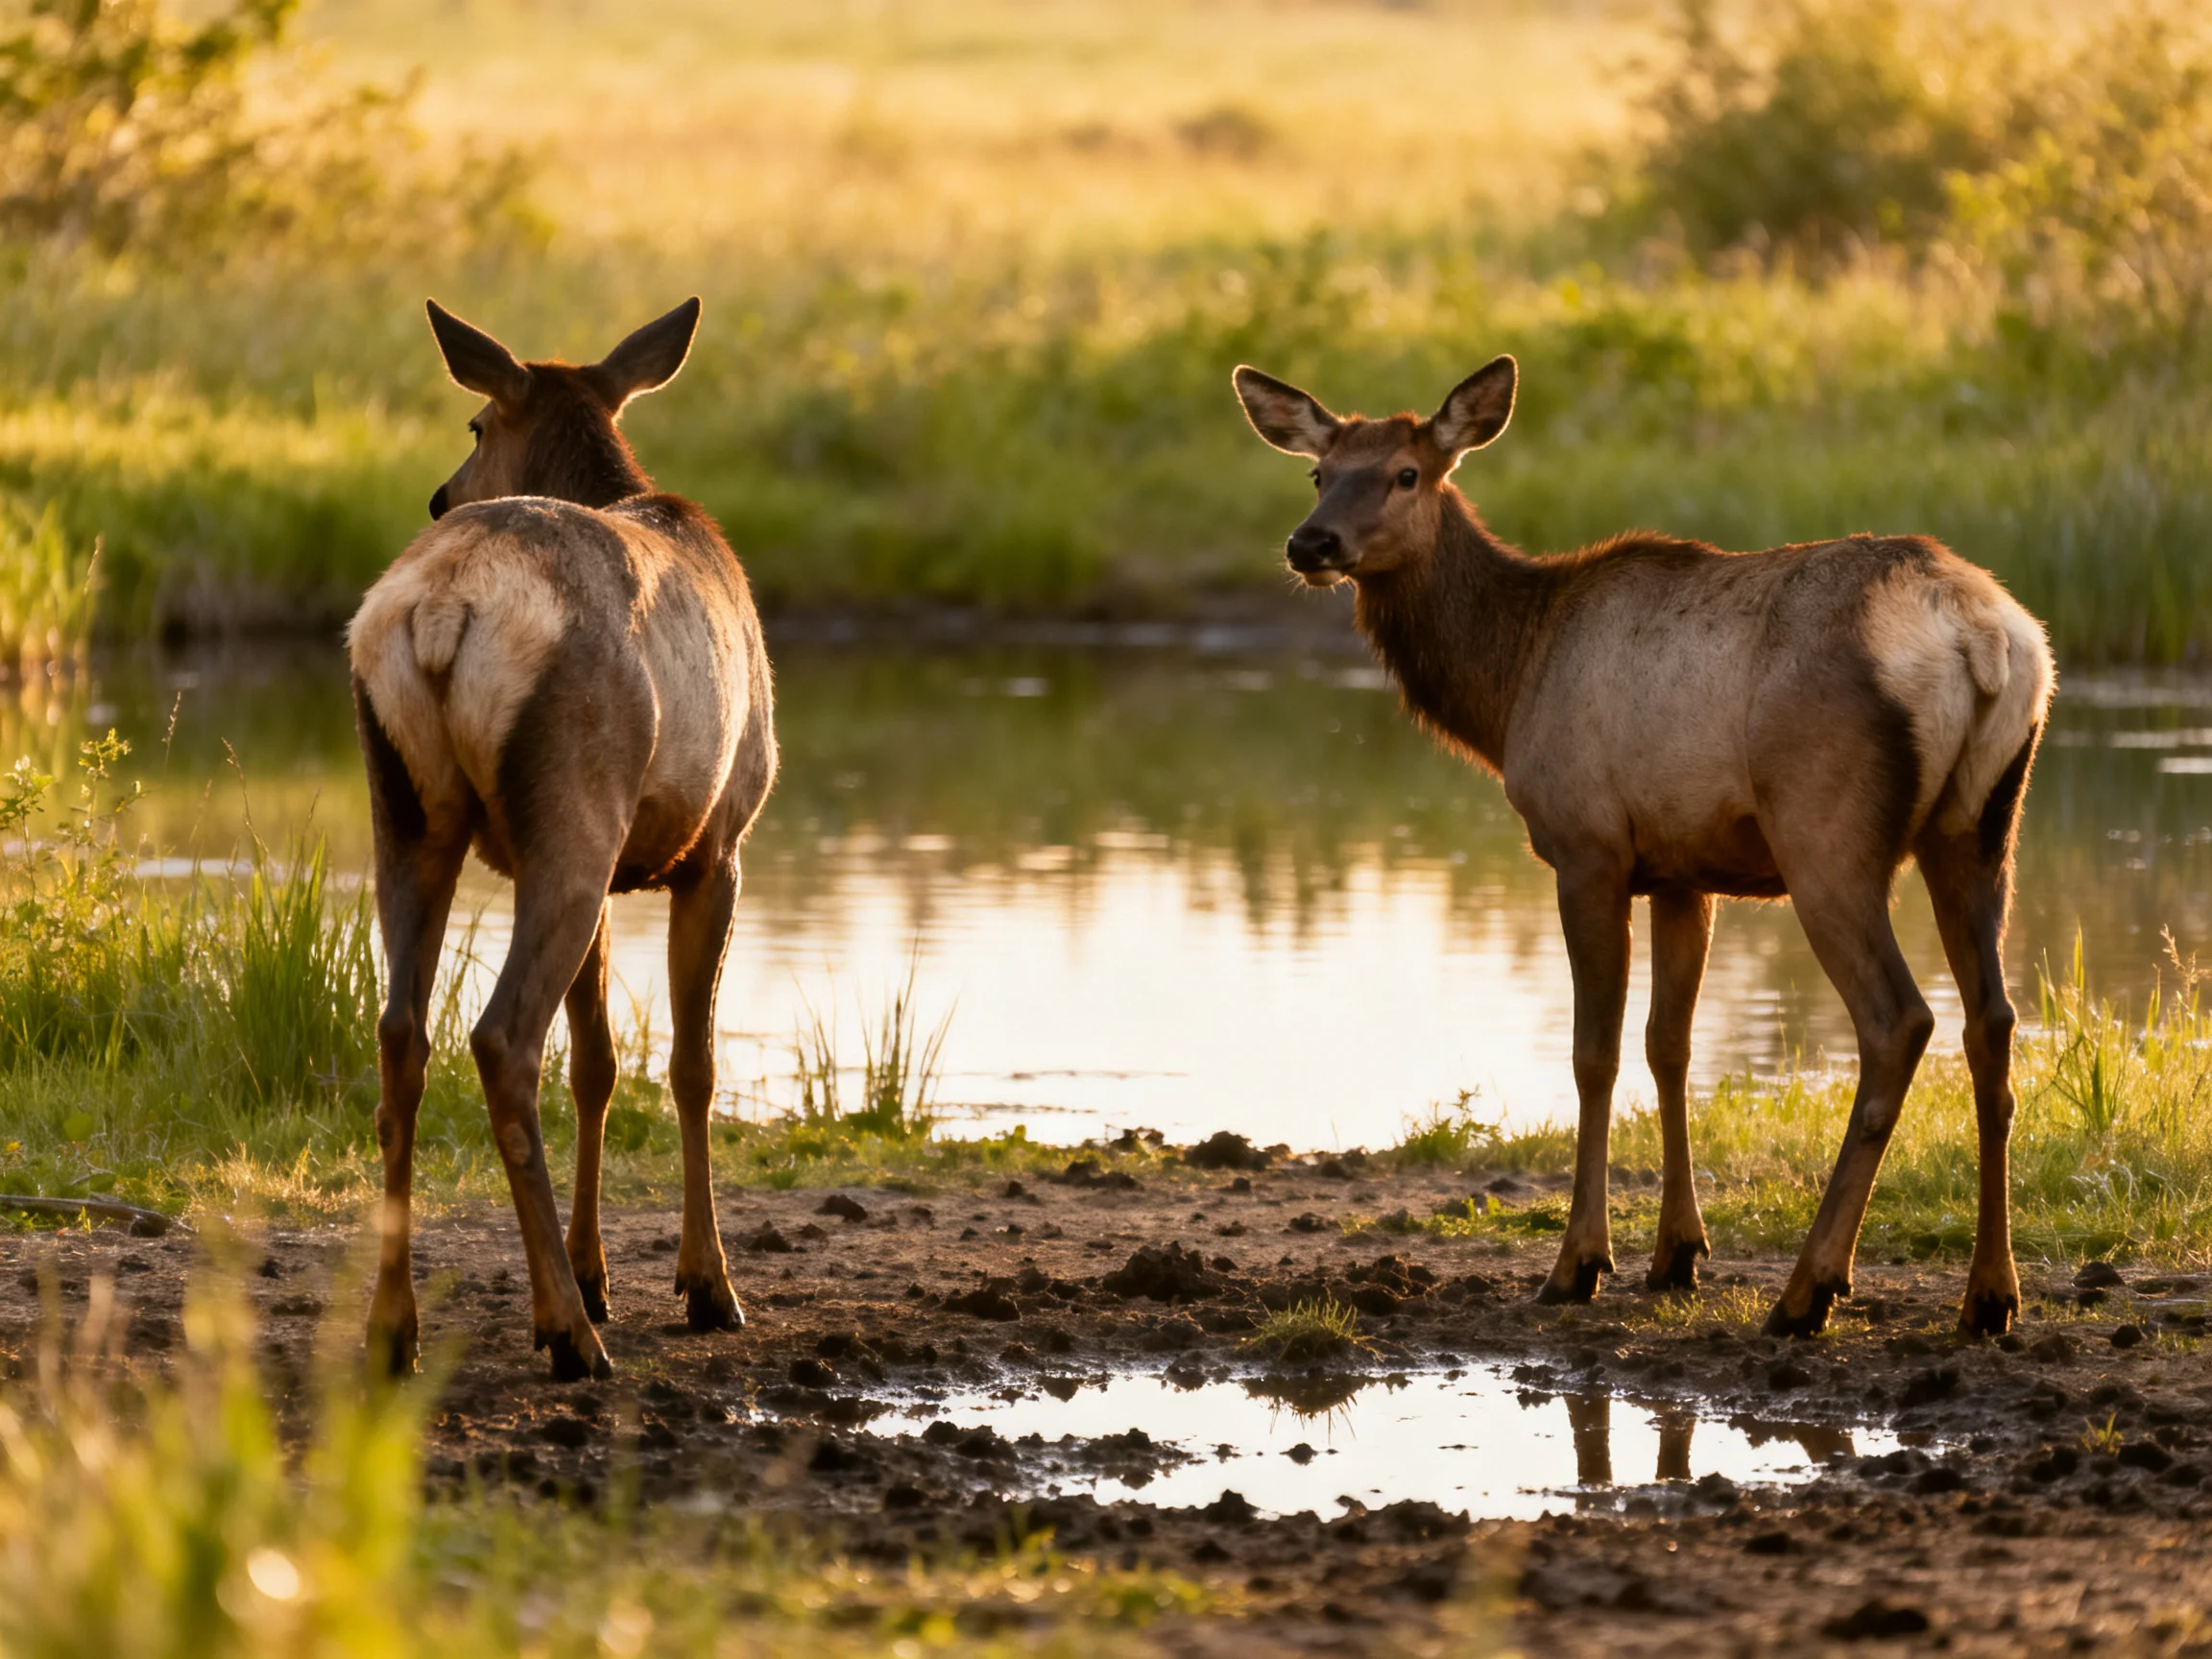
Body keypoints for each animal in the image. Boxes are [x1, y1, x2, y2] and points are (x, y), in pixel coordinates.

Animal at [348, 298, 776, 1380]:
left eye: (473, 426)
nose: (437, 493)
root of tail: (442, 609)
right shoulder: (719, 847)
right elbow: (692, 1065)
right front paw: (704, 1285)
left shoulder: (622, 864)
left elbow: (600, 1064)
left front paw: (599, 1271)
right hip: (574, 812)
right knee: (502, 1038)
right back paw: (565, 1333)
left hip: (410, 812)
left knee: (403, 1032)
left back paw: (395, 1327)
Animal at [1234, 356, 2052, 1338]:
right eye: (1320, 472)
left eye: (1407, 473)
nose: (1311, 543)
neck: (1507, 684)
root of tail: (1984, 635)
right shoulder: (1681, 869)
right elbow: (1672, 1046)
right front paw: (1676, 1254)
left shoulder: (1587, 847)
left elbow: (1595, 1054)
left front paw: (1578, 1264)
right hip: (1981, 825)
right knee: (1992, 1021)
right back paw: (1990, 1295)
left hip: (1829, 833)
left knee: (1900, 1021)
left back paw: (1809, 1290)